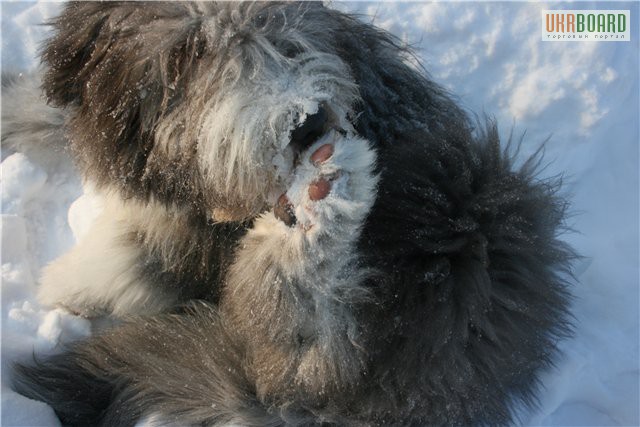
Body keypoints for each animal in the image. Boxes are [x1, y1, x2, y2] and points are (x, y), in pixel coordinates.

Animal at [5, 1, 576, 426]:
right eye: (195, 52)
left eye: (286, 39)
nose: (309, 120)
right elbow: (52, 113)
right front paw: (14, 109)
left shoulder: (194, 238)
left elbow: (133, 259)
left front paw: (65, 285)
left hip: (457, 218)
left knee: (309, 358)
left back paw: (320, 211)